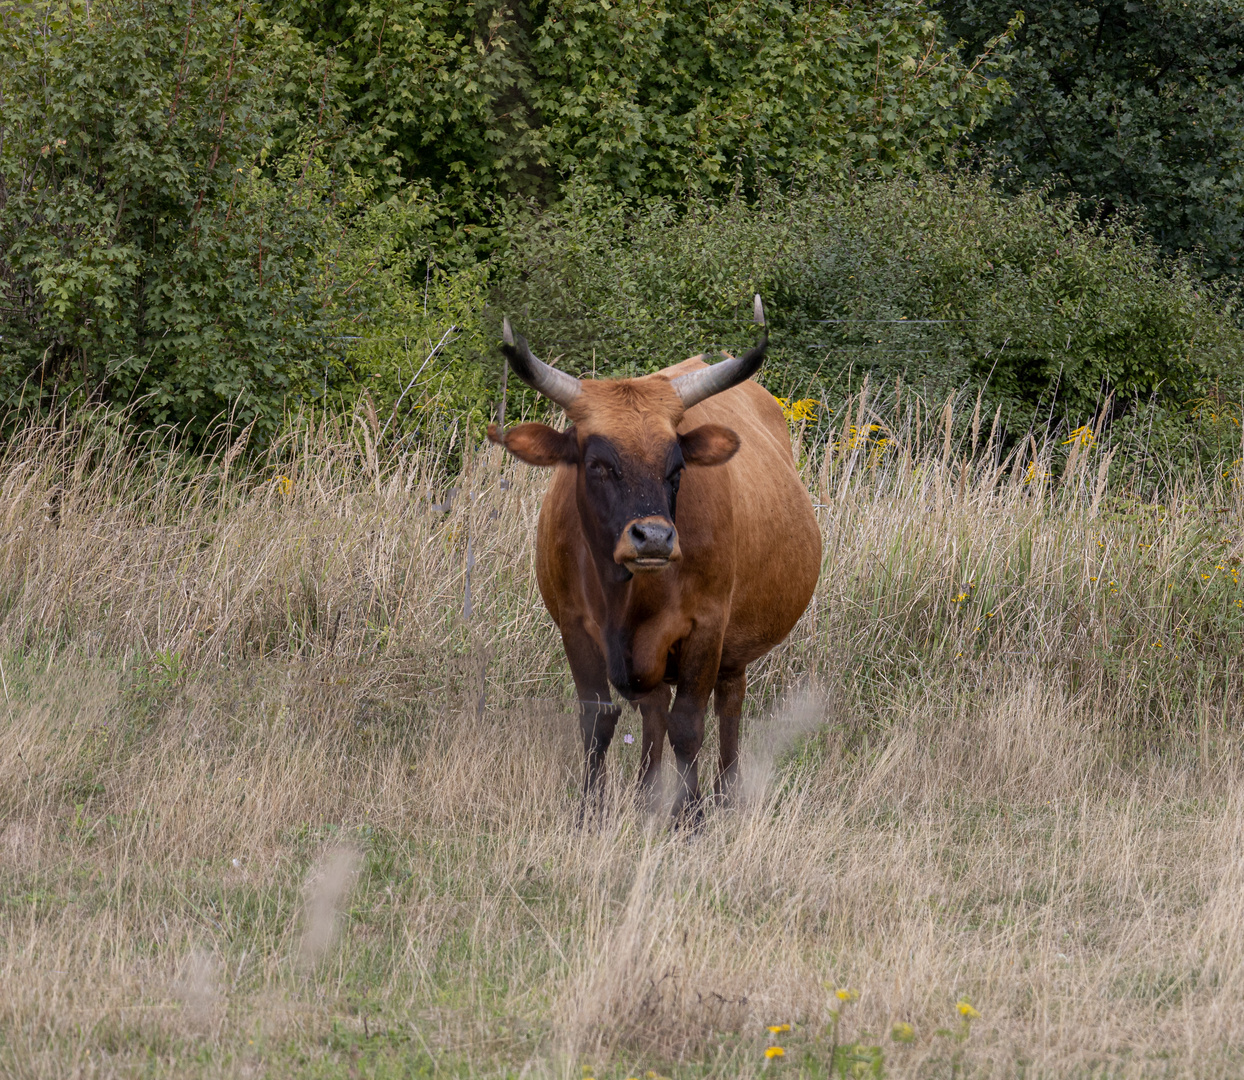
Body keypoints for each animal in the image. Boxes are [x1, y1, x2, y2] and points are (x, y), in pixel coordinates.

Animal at [490, 294, 821, 816]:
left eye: (676, 466)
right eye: (597, 464)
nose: (653, 538)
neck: (624, 595)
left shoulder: (705, 625)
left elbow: (688, 725)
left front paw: (691, 816)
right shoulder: (573, 625)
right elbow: (598, 720)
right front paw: (591, 811)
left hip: (734, 643)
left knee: (728, 701)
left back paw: (726, 794)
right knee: (653, 709)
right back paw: (647, 793)